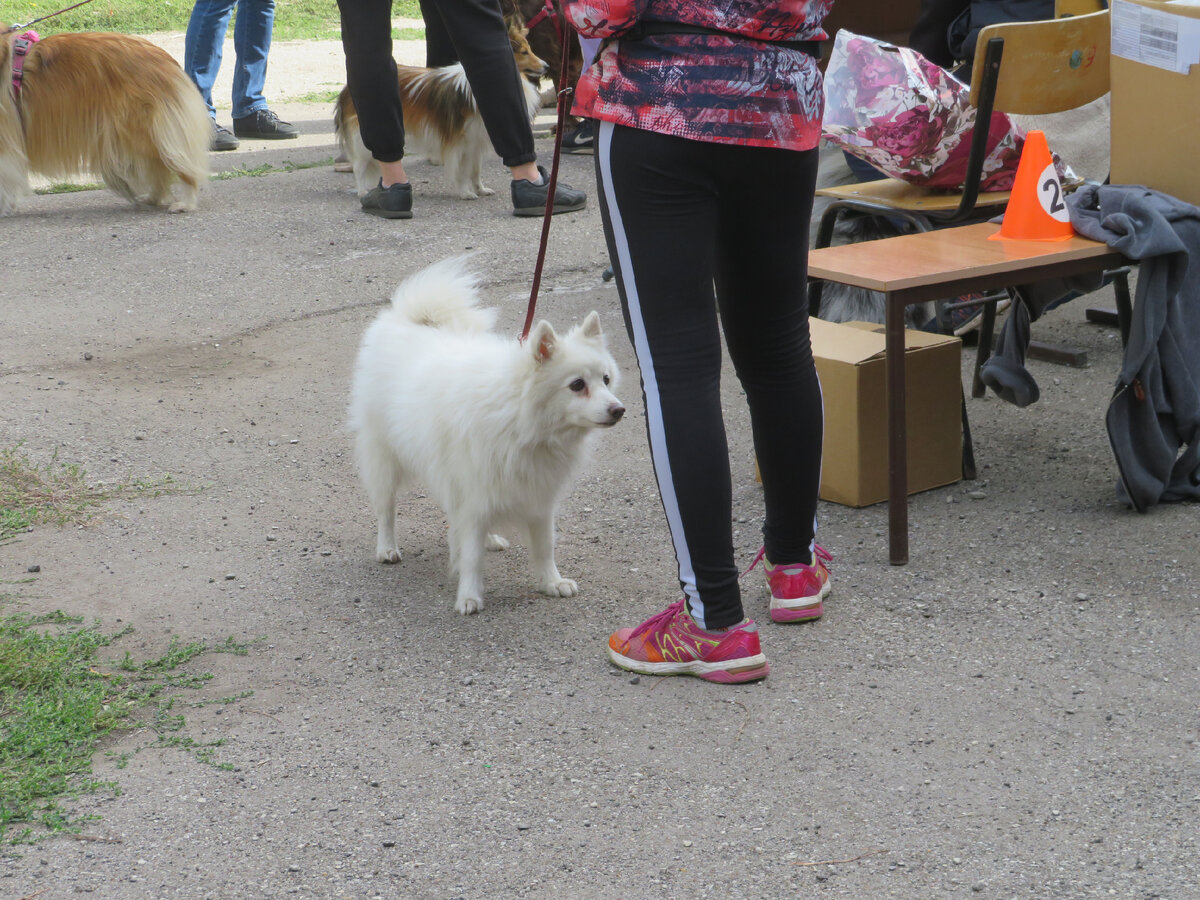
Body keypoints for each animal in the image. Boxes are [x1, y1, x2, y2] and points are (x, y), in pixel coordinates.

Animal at [0, 31, 210, 214]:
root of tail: (163, 57)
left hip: (144, 131)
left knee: (181, 164)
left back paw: (185, 202)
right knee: (159, 168)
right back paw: (153, 198)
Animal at [333, 20, 549, 200]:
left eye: (530, 49)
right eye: (524, 52)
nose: (546, 66)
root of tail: (347, 88)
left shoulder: (476, 141)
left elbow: (475, 171)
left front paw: (480, 189)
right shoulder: (459, 143)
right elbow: (461, 172)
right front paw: (465, 193)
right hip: (361, 138)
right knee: (359, 166)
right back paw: (362, 192)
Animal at [348, 256, 624, 619]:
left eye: (605, 379)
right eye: (577, 385)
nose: (619, 410)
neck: (519, 418)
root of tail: (408, 319)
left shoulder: (537, 495)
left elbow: (544, 546)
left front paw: (552, 582)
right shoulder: (475, 493)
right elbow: (471, 556)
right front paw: (469, 596)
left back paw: (491, 538)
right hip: (384, 458)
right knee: (386, 509)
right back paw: (387, 547)